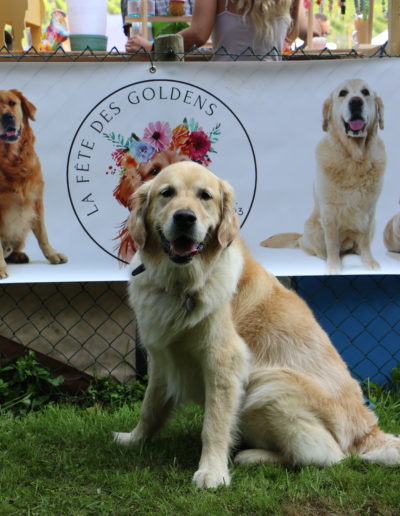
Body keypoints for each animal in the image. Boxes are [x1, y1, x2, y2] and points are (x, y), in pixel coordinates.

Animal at [0, 89, 67, 279]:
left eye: (12, 103)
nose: (7, 116)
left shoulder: (36, 199)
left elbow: (43, 234)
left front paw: (52, 254)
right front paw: (0, 269)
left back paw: (17, 255)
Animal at [114, 161, 400, 488]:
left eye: (205, 196)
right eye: (167, 193)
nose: (185, 218)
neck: (180, 281)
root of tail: (367, 431)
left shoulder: (224, 360)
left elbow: (214, 424)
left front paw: (212, 472)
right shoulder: (162, 355)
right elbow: (149, 408)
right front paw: (134, 439)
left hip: (269, 384)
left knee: (329, 456)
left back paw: (252, 456)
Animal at [261, 79, 386, 274]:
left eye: (365, 92)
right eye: (343, 93)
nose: (356, 101)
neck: (355, 159)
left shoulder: (369, 210)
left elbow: (364, 240)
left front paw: (369, 263)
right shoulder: (330, 212)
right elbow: (332, 243)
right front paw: (334, 267)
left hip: (373, 224)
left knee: (356, 244)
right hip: (313, 228)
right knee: (319, 249)